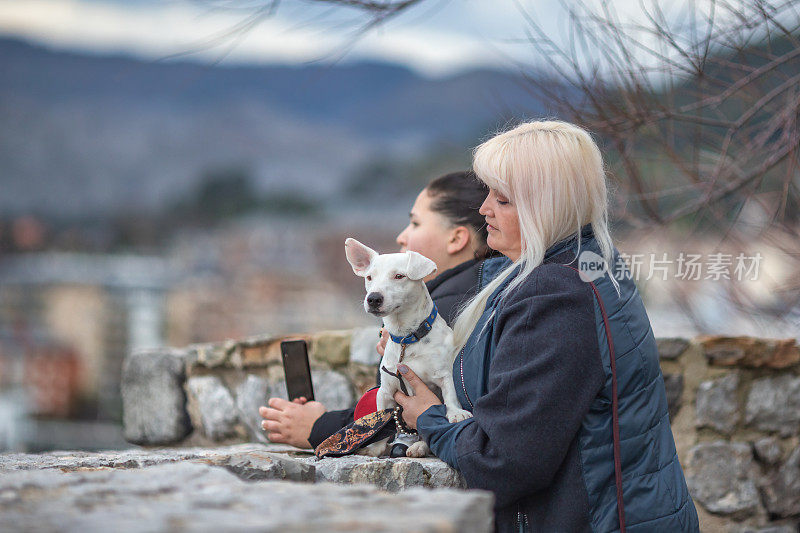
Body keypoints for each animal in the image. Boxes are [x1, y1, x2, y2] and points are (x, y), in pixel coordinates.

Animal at [342, 238, 468, 458]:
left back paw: (420, 446)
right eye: (369, 277)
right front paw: (375, 448)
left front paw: (456, 412)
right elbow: (381, 418)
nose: (373, 298)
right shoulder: (385, 391)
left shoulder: (444, 375)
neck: (406, 339)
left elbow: (451, 395)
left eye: (399, 276)